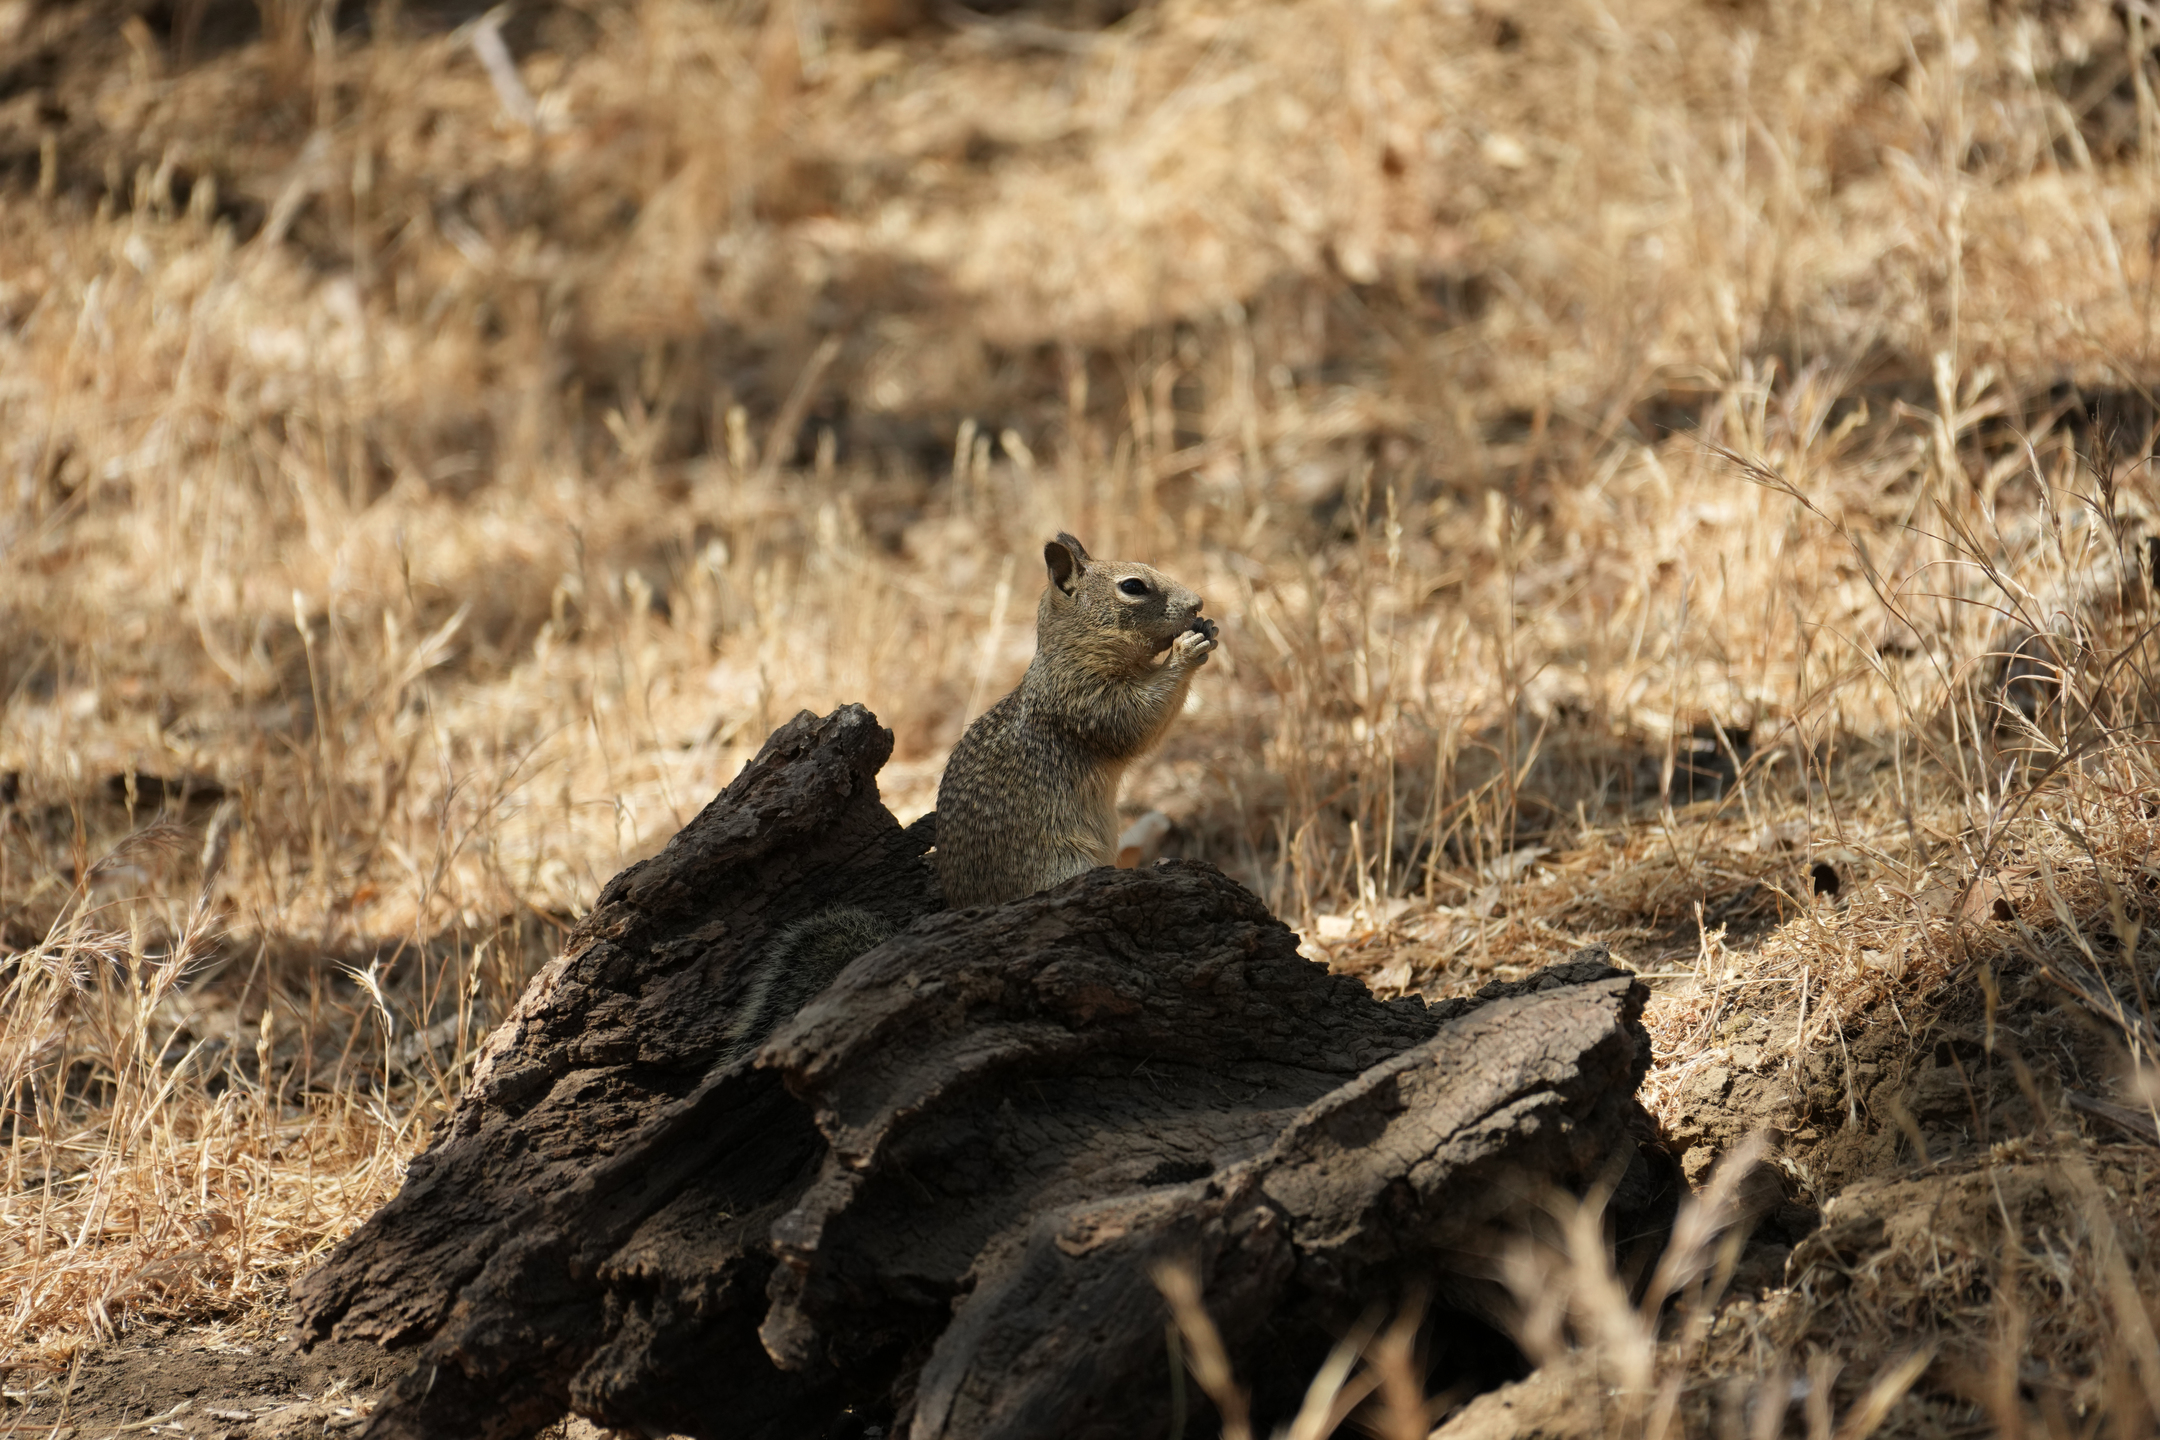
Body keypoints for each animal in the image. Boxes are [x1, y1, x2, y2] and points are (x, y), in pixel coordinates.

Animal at [934, 532, 1218, 909]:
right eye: (1133, 586)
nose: (1197, 604)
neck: (1073, 652)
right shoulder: (1089, 700)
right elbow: (1137, 720)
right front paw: (1187, 649)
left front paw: (1208, 629)